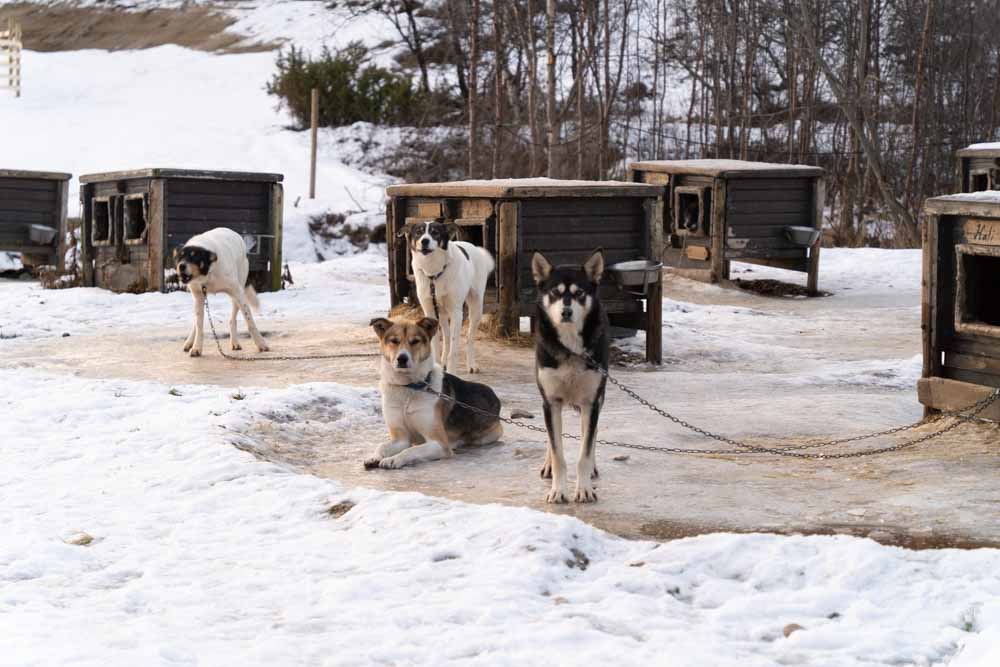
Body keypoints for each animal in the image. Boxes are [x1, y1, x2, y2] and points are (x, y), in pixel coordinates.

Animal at [175, 227, 270, 358]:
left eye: (194, 257)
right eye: (180, 258)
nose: (181, 266)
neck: (208, 274)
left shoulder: (237, 292)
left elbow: (250, 321)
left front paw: (261, 343)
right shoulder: (198, 295)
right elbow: (199, 325)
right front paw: (196, 347)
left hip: (238, 289)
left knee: (232, 319)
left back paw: (235, 342)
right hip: (201, 299)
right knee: (197, 321)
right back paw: (189, 342)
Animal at [366, 318, 504, 470]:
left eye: (415, 341)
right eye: (394, 341)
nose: (402, 358)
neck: (408, 388)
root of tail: (494, 396)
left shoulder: (440, 443)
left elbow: (411, 450)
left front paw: (394, 459)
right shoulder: (400, 439)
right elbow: (382, 446)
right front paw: (374, 457)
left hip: (486, 436)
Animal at [396, 220, 494, 374]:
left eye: (435, 232)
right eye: (418, 232)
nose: (424, 241)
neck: (434, 272)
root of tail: (474, 247)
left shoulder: (456, 313)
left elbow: (454, 350)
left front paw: (452, 371)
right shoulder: (430, 312)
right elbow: (436, 344)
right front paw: (436, 366)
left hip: (476, 307)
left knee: (469, 338)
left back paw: (471, 364)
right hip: (441, 313)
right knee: (447, 337)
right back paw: (443, 363)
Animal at [532, 248, 608, 504]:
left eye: (580, 293)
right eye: (555, 293)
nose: (566, 311)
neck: (571, 347)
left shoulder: (591, 402)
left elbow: (585, 450)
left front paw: (584, 489)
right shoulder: (551, 402)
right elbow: (558, 453)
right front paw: (558, 490)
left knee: (590, 435)